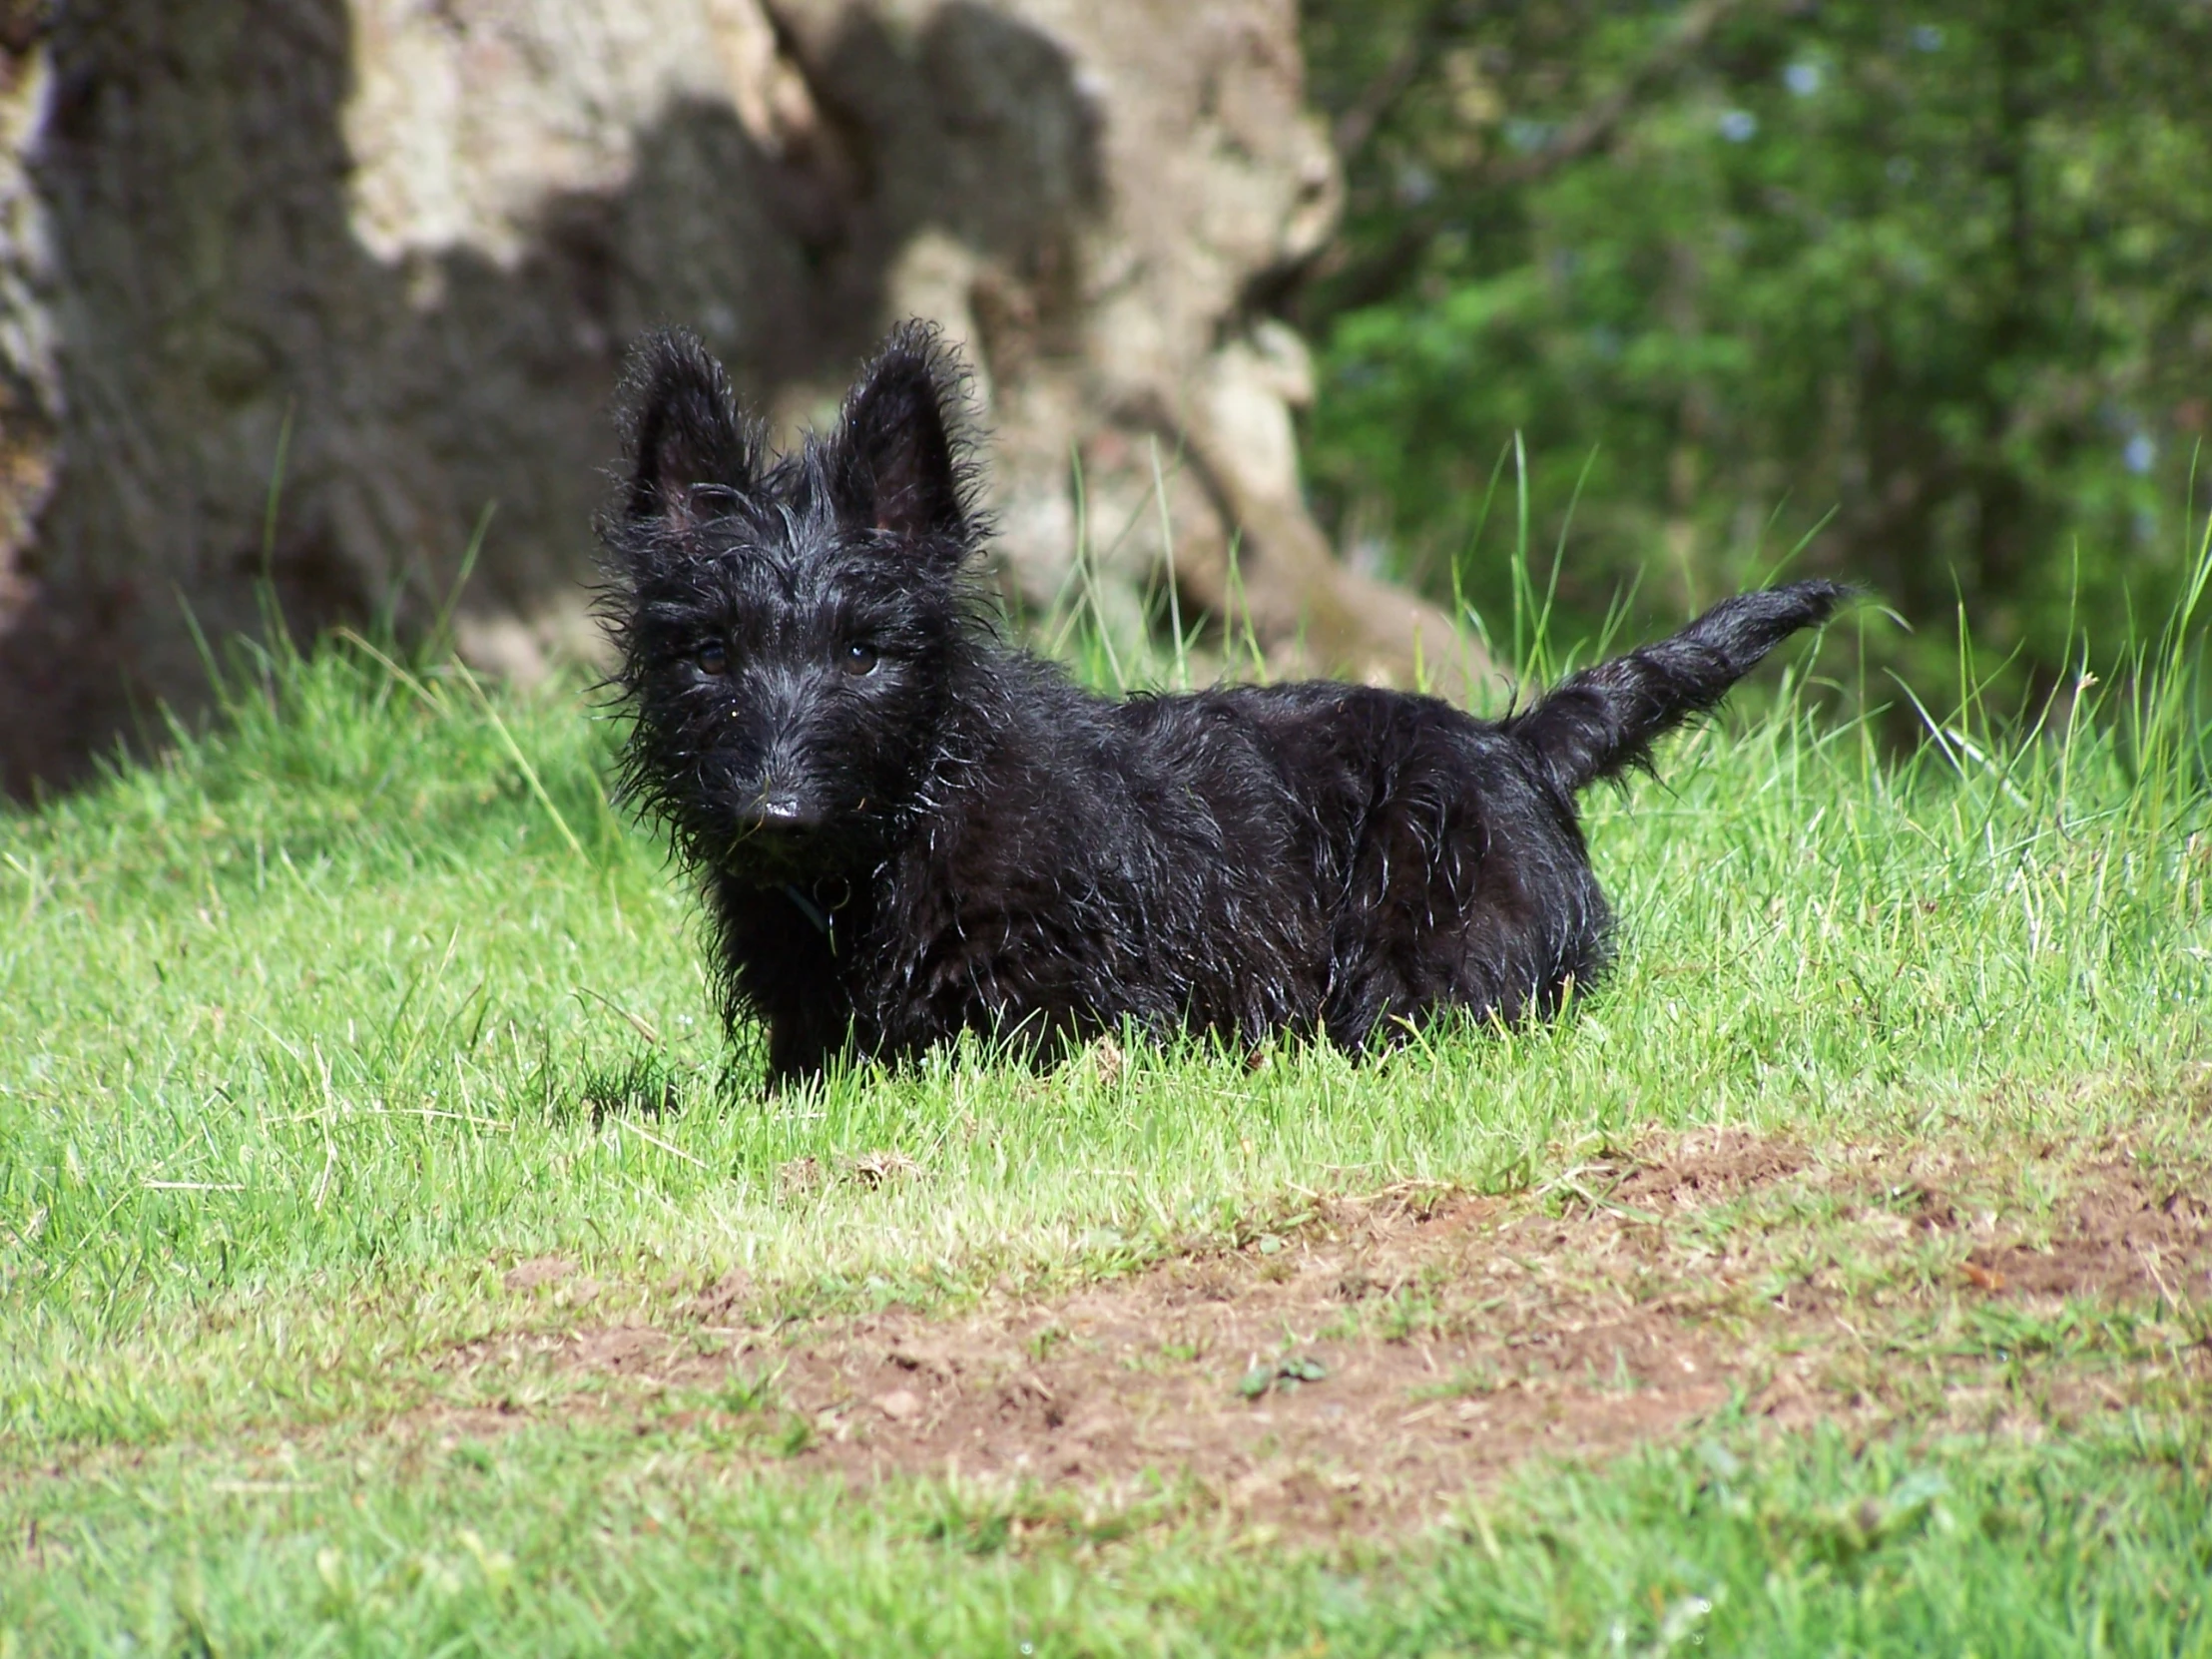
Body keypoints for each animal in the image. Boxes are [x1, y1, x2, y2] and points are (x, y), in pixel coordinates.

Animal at [597, 324, 1840, 1092]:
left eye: (862, 654)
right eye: (709, 652)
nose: (774, 815)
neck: (897, 835)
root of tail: (1508, 742)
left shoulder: (1074, 1021)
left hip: (1434, 962)